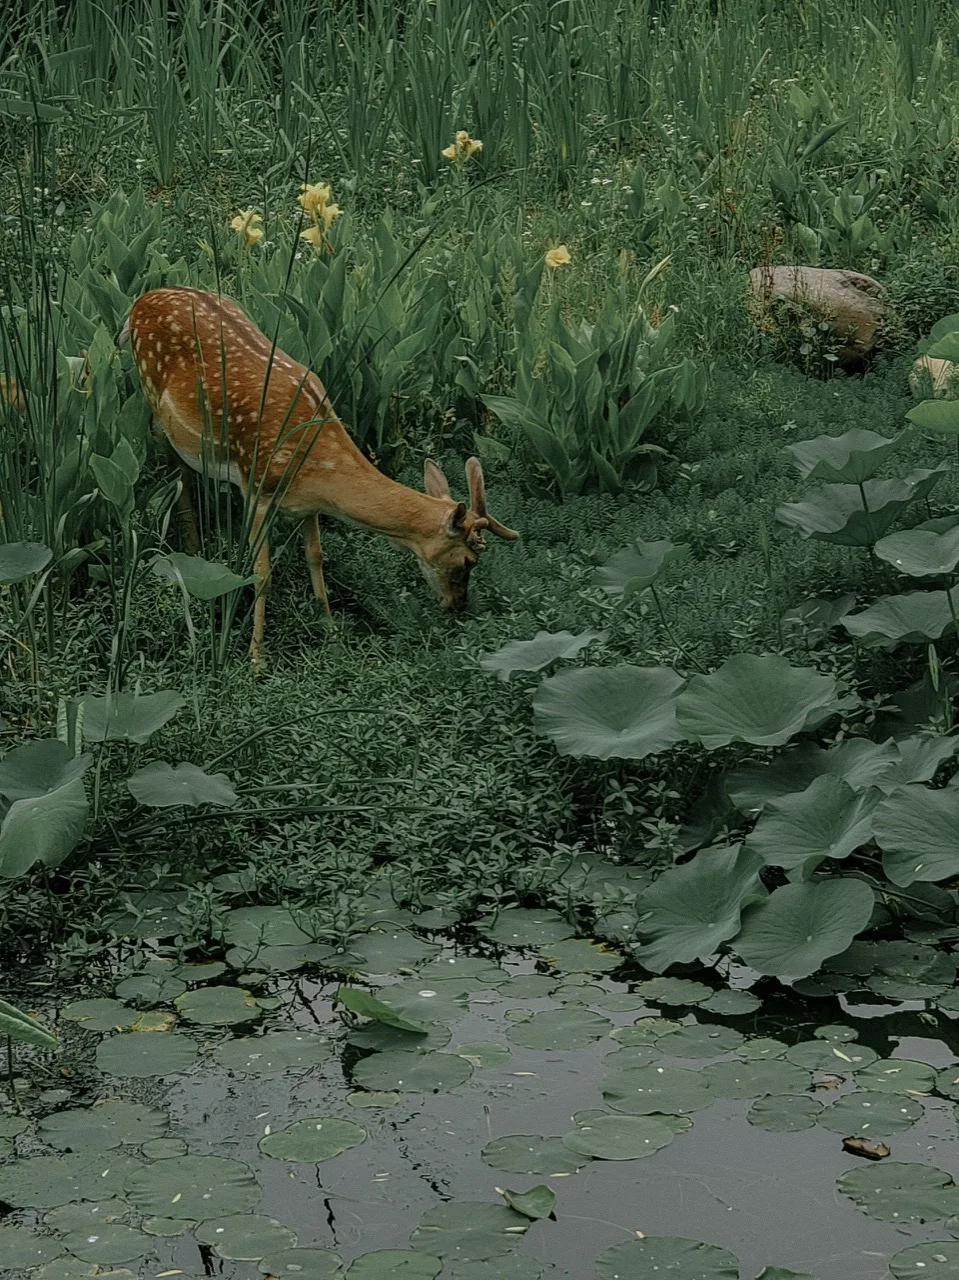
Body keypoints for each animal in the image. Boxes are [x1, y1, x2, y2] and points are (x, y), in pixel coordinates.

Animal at [117, 287, 517, 664]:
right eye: (467, 561)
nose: (457, 606)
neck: (319, 471)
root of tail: (139, 301)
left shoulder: (306, 506)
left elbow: (316, 558)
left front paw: (332, 635)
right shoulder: (256, 489)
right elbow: (261, 575)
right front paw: (256, 659)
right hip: (156, 409)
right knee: (177, 470)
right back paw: (192, 546)